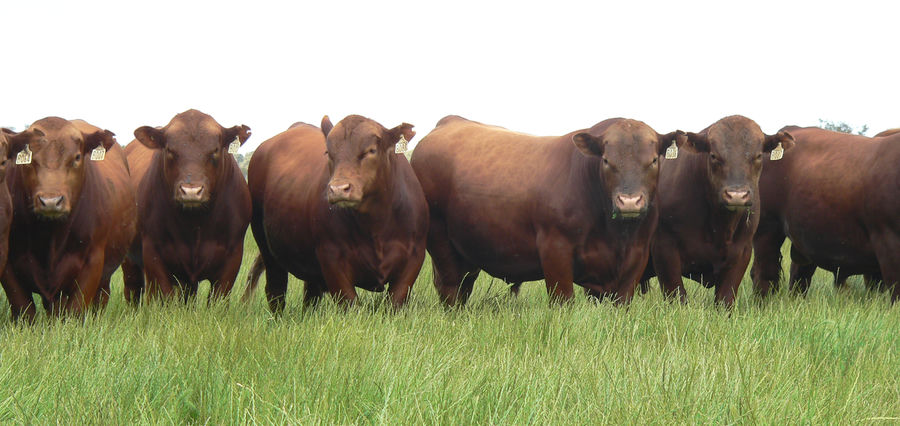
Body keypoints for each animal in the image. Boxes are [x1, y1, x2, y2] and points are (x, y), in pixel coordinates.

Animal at [1, 117, 136, 321]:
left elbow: (76, 311)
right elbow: (25, 309)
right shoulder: (9, 264)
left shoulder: (93, 261)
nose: (50, 201)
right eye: (30, 161)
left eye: (77, 157)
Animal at [121, 109, 251, 303]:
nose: (191, 191)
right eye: (170, 150)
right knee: (134, 290)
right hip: (130, 262)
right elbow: (164, 297)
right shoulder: (153, 253)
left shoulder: (232, 256)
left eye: (215, 150)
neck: (195, 223)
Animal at [243, 115, 428, 311]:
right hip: (266, 246)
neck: (376, 226)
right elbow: (350, 304)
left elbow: (395, 302)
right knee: (276, 290)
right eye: (328, 153)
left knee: (310, 295)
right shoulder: (332, 259)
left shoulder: (414, 258)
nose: (338, 189)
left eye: (371, 150)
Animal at [410, 115, 686, 306]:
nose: (629, 202)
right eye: (606, 160)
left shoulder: (635, 257)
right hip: (440, 240)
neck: (615, 235)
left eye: (653, 160)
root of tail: (449, 121)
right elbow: (563, 300)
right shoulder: (555, 249)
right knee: (449, 287)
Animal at [638, 116, 795, 307]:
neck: (718, 226)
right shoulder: (664, 248)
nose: (737, 195)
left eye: (758, 155)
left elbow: (725, 298)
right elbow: (677, 295)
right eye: (713, 155)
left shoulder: (742, 251)